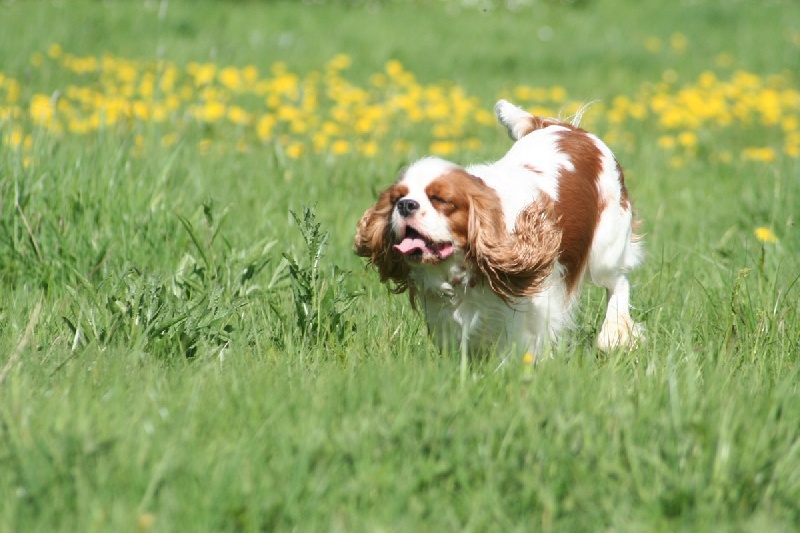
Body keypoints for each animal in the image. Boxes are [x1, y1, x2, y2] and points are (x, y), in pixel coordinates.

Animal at [356, 97, 644, 360]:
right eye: (396, 198)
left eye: (440, 199)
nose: (405, 205)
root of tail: (565, 128)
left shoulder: (539, 300)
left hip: (605, 252)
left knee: (618, 282)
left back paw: (614, 334)